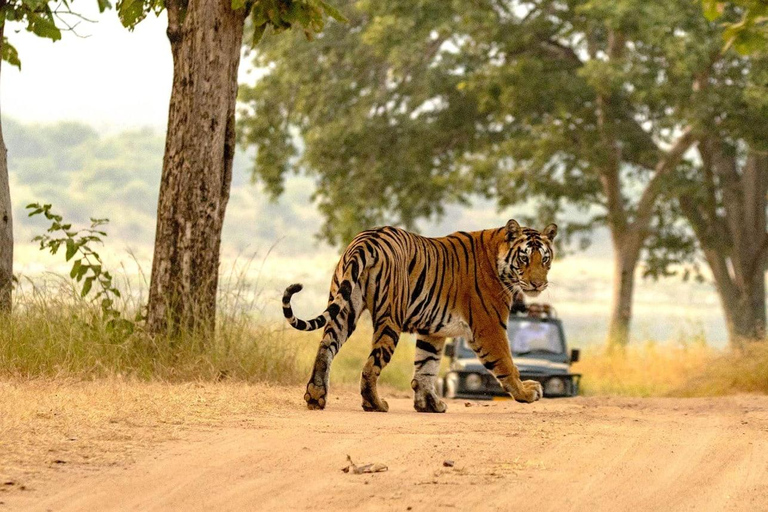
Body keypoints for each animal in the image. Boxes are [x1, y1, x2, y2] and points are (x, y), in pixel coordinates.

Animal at [282, 219, 560, 412]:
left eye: (545, 260)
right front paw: (527, 393)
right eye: (524, 258)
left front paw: (429, 404)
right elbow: (507, 363)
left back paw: (316, 396)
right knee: (371, 366)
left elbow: (426, 366)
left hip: (345, 307)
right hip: (390, 318)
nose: (537, 284)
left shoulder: (433, 330)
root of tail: (367, 239)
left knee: (325, 347)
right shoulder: (488, 327)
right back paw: (375, 404)